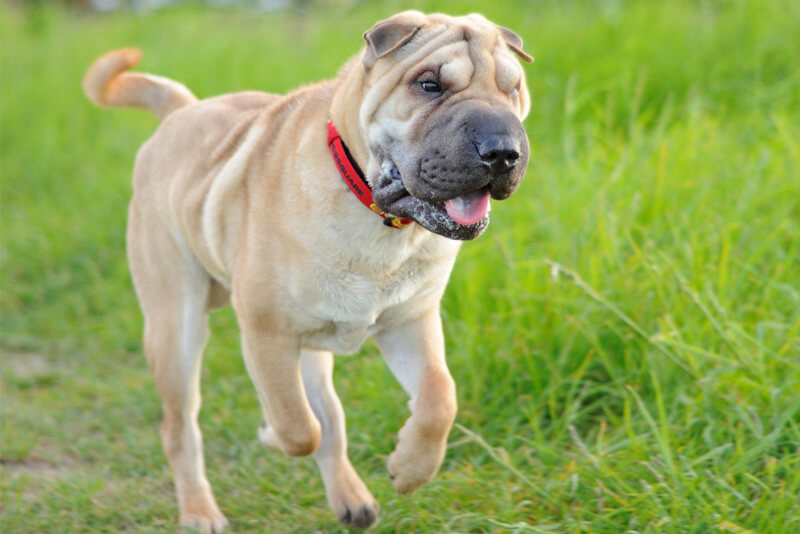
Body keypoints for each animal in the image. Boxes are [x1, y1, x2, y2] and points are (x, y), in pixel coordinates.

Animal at [84, 9, 532, 534]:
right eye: (429, 85)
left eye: (512, 89)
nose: (502, 151)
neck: (375, 218)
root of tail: (182, 110)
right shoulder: (266, 333)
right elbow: (296, 426)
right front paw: (270, 435)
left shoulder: (410, 323)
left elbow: (440, 397)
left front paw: (411, 467)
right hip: (176, 327)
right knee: (183, 427)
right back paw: (199, 509)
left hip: (310, 348)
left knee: (330, 417)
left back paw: (351, 497)